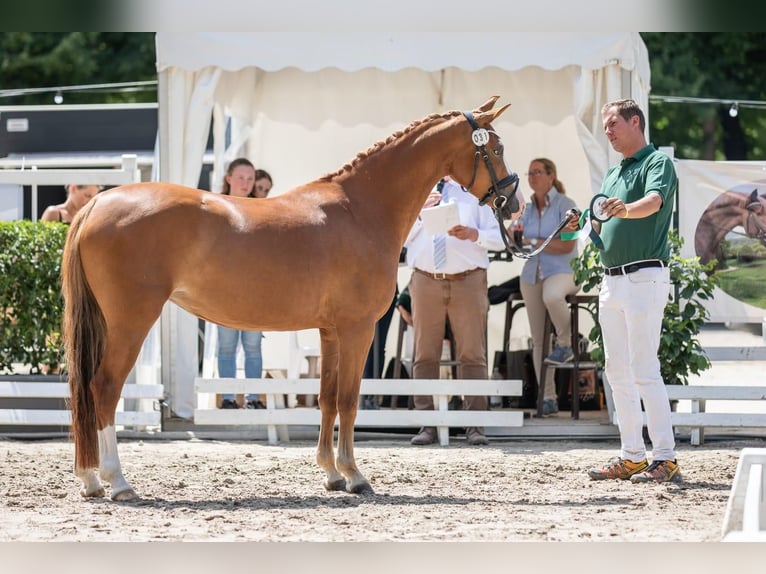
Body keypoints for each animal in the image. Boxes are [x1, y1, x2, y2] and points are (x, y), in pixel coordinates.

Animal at [63, 97, 524, 502]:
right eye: (496, 148)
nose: (514, 203)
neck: (361, 209)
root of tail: (99, 202)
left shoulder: (330, 331)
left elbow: (326, 398)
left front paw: (331, 474)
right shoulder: (357, 329)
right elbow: (349, 400)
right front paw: (355, 476)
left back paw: (91, 481)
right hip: (131, 321)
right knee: (104, 388)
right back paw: (117, 482)